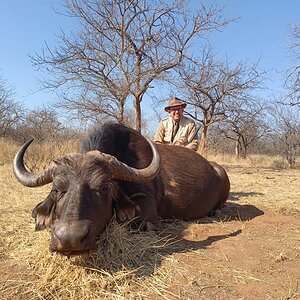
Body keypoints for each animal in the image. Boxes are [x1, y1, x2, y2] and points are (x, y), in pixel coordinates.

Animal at [12, 122, 230, 255]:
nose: (69, 239)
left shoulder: (149, 210)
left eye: (102, 188)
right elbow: (37, 211)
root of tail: (215, 168)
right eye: (58, 189)